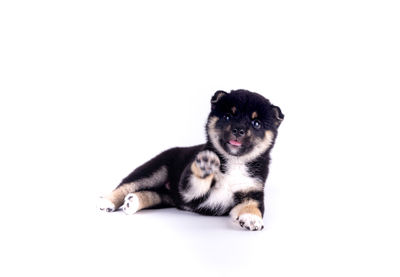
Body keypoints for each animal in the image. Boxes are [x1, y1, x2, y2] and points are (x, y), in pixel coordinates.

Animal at [98, 89, 282, 230]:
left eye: (256, 123)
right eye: (228, 116)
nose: (238, 130)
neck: (234, 162)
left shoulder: (252, 191)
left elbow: (253, 206)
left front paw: (252, 218)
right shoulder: (189, 190)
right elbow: (196, 179)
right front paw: (205, 167)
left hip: (167, 196)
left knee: (151, 195)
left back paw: (132, 202)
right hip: (155, 170)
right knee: (127, 185)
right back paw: (107, 202)